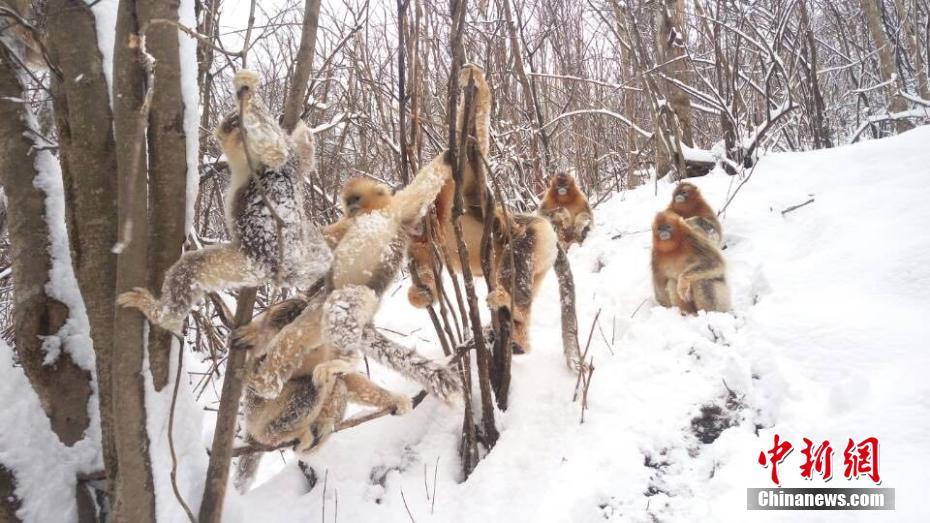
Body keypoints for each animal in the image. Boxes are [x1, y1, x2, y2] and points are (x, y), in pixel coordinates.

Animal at [117, 70, 332, 334]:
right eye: (229, 125)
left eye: (242, 126)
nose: (236, 131)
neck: (244, 161)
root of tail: (284, 270)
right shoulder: (295, 162)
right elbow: (303, 154)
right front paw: (300, 125)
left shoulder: (277, 160)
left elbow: (275, 150)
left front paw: (249, 90)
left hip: (246, 265)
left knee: (191, 270)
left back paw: (159, 313)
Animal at [405, 64, 558, 354]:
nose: (414, 226)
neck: (436, 223)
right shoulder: (421, 243)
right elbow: (427, 268)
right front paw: (421, 294)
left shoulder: (447, 199)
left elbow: (466, 156)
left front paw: (475, 79)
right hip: (542, 265)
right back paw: (518, 340)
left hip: (538, 237)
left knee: (516, 258)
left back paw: (508, 302)